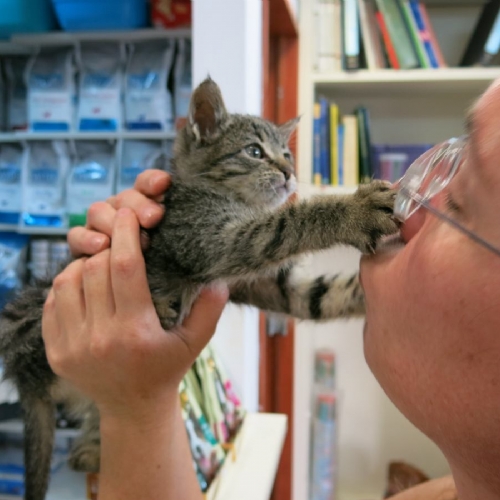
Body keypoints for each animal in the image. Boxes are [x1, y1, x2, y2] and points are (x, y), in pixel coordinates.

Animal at [0, 76, 398, 498]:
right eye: (255, 152)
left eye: (287, 154)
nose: (289, 172)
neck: (215, 194)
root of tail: (21, 379)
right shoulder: (219, 239)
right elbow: (288, 224)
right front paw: (354, 210)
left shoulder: (262, 285)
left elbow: (317, 296)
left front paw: (379, 294)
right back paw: (160, 309)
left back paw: (89, 451)